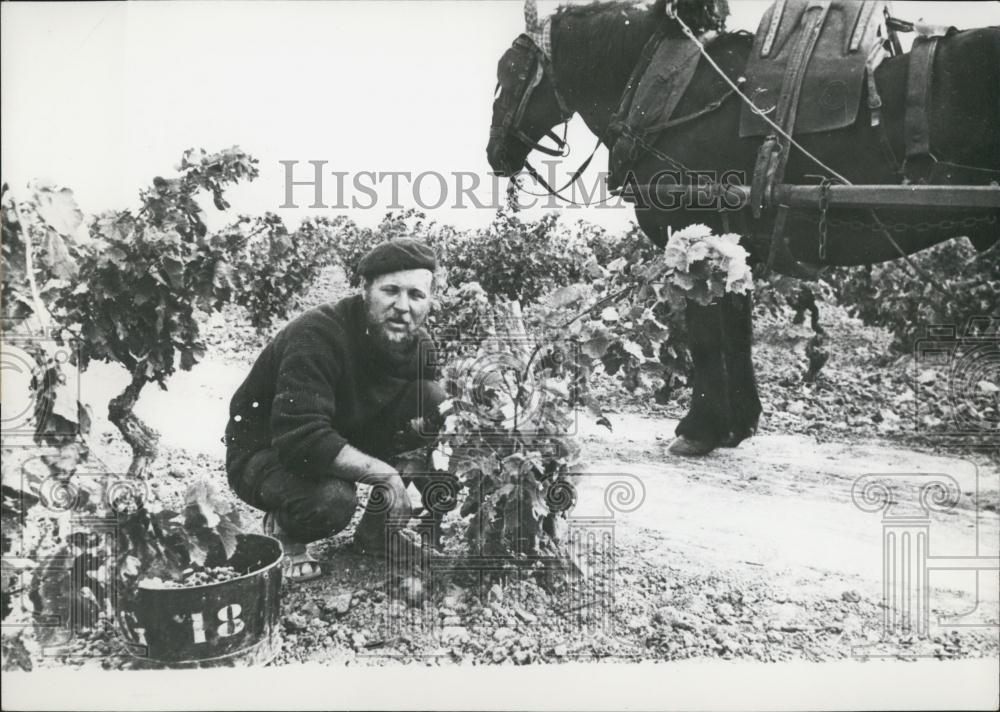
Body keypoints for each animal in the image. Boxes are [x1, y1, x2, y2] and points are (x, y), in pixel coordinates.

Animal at [486, 0, 1000, 456]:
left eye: (509, 72)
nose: (495, 153)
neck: (670, 92)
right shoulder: (737, 248)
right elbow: (737, 330)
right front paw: (737, 425)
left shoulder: (697, 238)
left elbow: (706, 335)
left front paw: (700, 429)